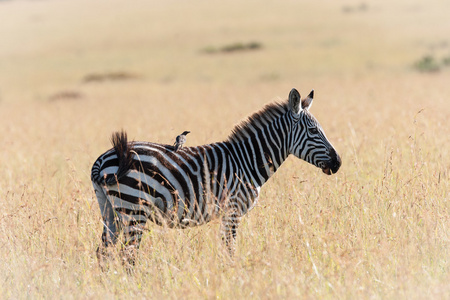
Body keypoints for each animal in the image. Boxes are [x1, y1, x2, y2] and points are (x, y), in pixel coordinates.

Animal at [90, 87, 342, 264]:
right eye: (313, 131)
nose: (338, 162)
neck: (246, 161)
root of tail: (103, 158)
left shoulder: (227, 212)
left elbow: (225, 249)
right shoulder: (233, 209)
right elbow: (230, 250)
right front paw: (233, 276)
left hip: (110, 211)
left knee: (103, 253)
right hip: (134, 209)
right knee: (128, 256)